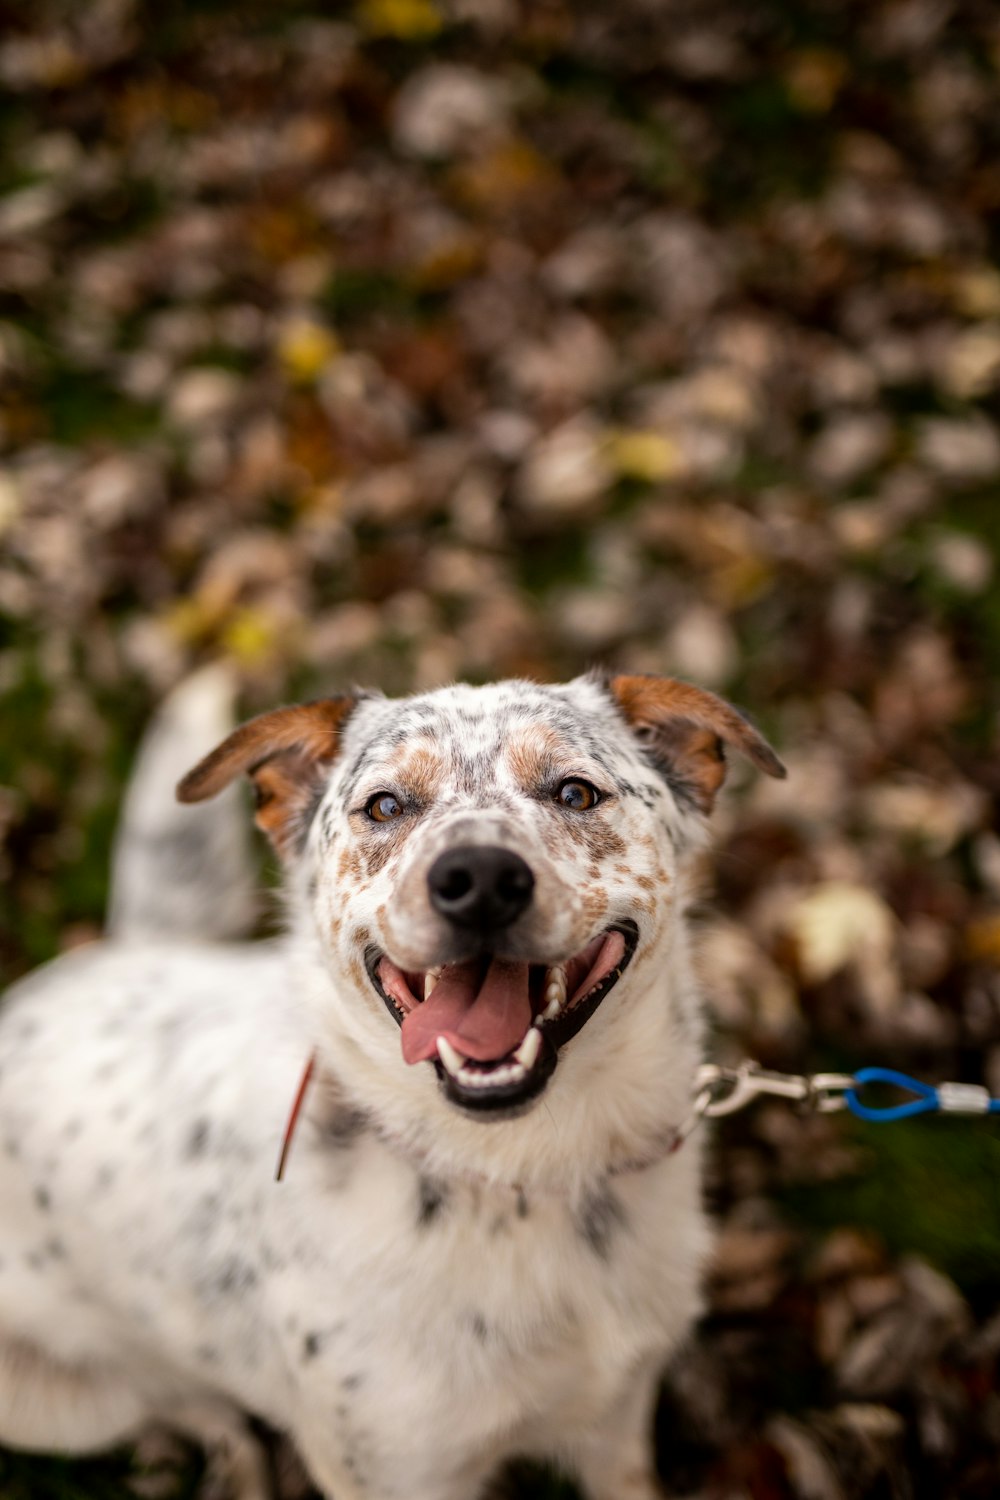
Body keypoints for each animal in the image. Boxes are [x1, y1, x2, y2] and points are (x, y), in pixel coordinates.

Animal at [0, 672, 785, 1500]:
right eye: (384, 806)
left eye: (575, 792)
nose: (479, 880)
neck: (518, 1176)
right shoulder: (395, 1469)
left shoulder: (619, 1417)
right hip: (56, 1407)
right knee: (180, 1404)